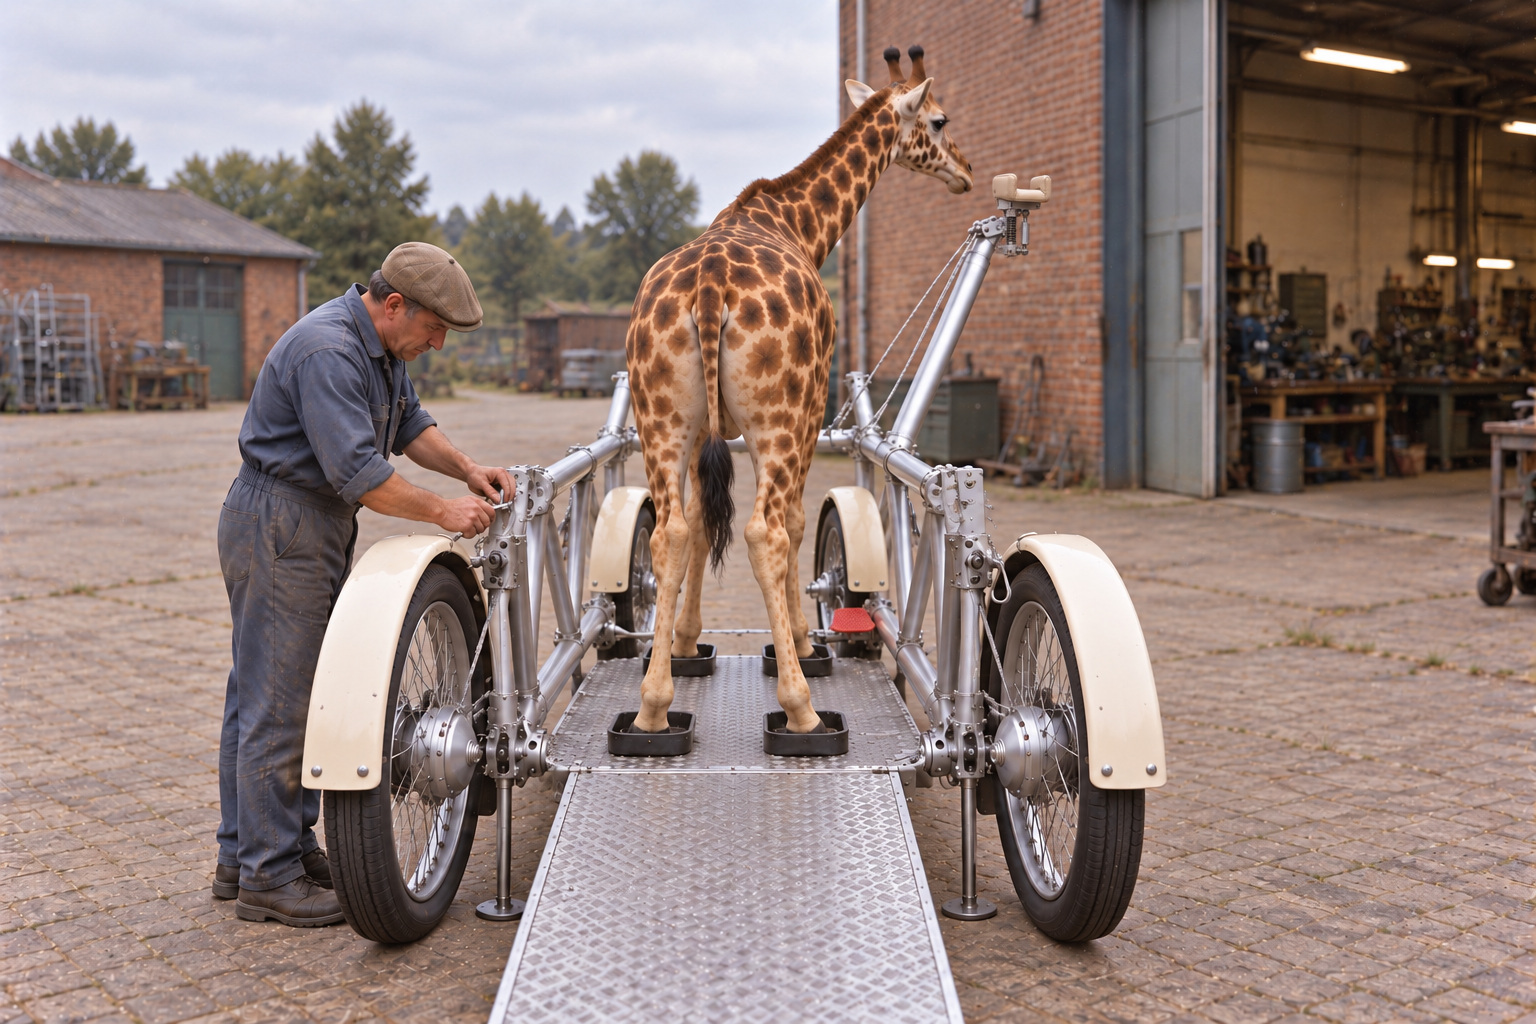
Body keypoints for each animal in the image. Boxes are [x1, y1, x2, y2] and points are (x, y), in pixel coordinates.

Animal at [626, 45, 973, 734]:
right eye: (940, 120)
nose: (968, 171)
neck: (796, 223)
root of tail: (709, 286)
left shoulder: (706, 430)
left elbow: (699, 524)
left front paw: (685, 642)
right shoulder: (809, 412)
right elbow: (791, 520)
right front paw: (810, 645)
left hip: (663, 419)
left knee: (668, 532)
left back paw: (653, 708)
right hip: (778, 418)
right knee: (765, 531)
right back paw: (802, 707)